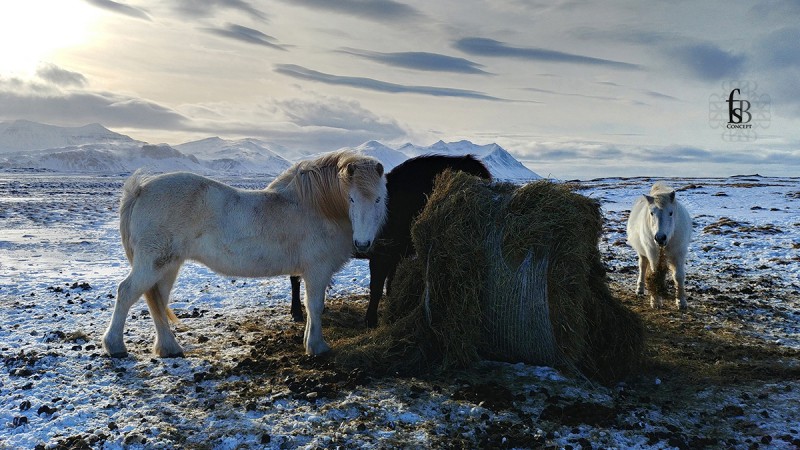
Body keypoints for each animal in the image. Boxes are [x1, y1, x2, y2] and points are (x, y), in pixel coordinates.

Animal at [101, 151, 390, 358]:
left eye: (378, 199)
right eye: (351, 199)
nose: (363, 243)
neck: (316, 207)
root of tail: (140, 190)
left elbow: (311, 308)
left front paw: (310, 341)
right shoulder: (316, 271)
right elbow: (315, 306)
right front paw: (317, 347)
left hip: (168, 265)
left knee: (157, 300)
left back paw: (169, 348)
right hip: (153, 263)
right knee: (127, 292)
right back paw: (115, 346)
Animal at [290, 154, 490, 326]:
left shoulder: (396, 255)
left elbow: (390, 283)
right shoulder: (380, 257)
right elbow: (376, 287)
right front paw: (371, 321)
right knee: (294, 279)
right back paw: (297, 313)